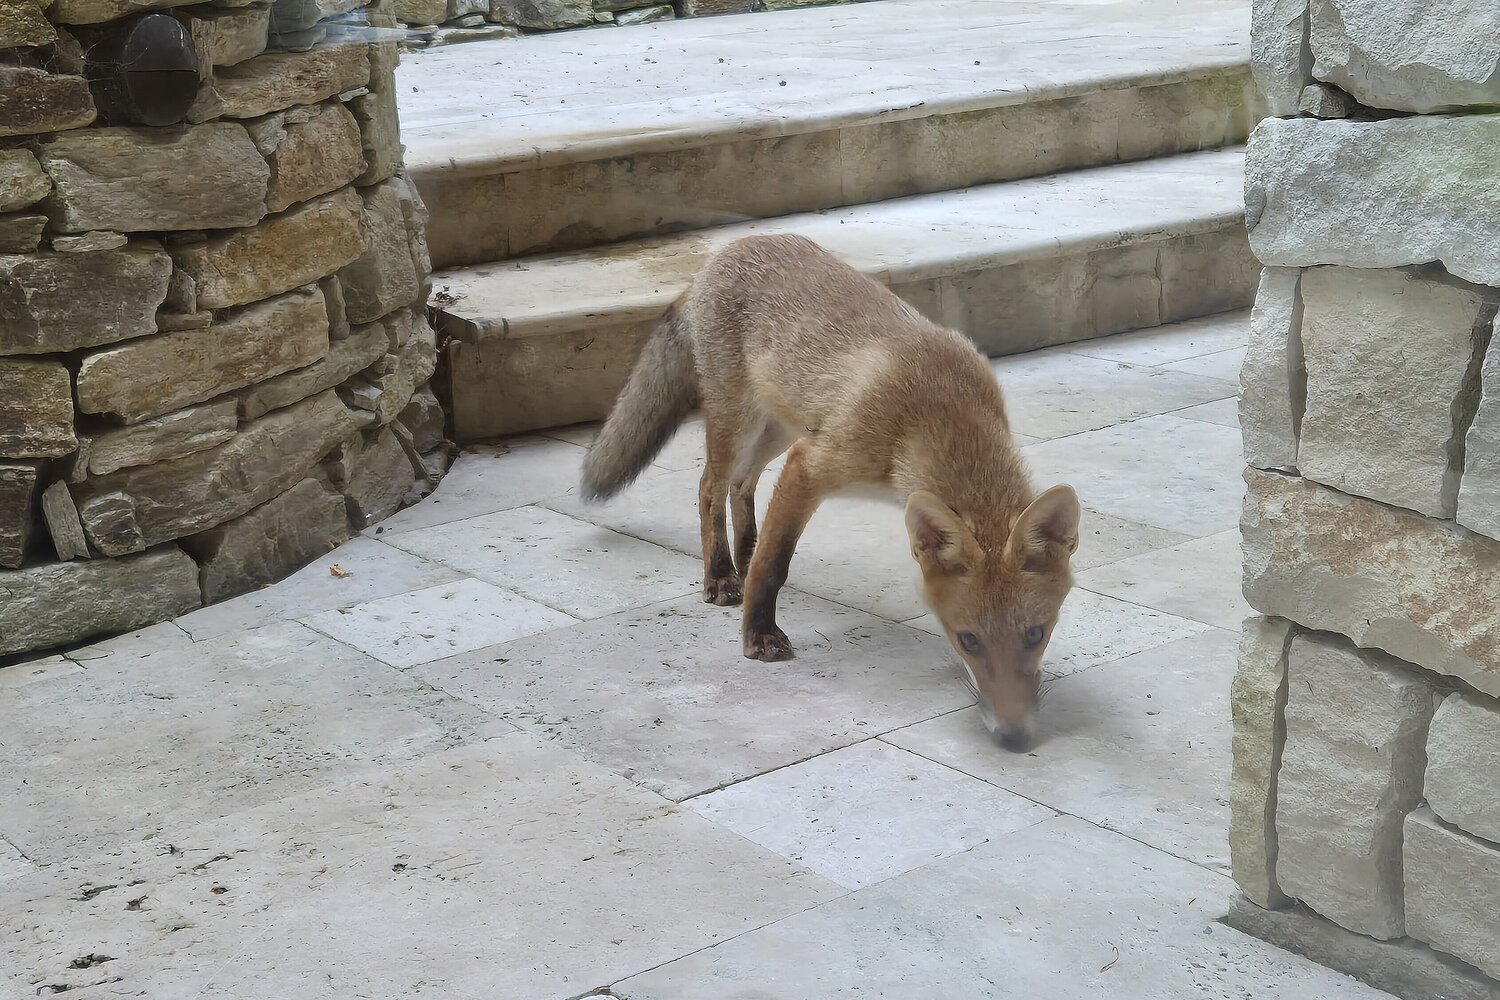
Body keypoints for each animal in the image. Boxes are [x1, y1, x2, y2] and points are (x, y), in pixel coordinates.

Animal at [579, 235, 1086, 749]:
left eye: (1036, 634)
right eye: (968, 640)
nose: (1015, 736)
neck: (938, 415)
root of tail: (724, 253)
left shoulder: (808, 453)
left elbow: (769, 550)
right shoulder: (812, 464)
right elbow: (775, 565)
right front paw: (759, 635)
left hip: (782, 425)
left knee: (743, 484)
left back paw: (743, 554)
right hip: (741, 422)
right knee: (710, 487)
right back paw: (721, 574)